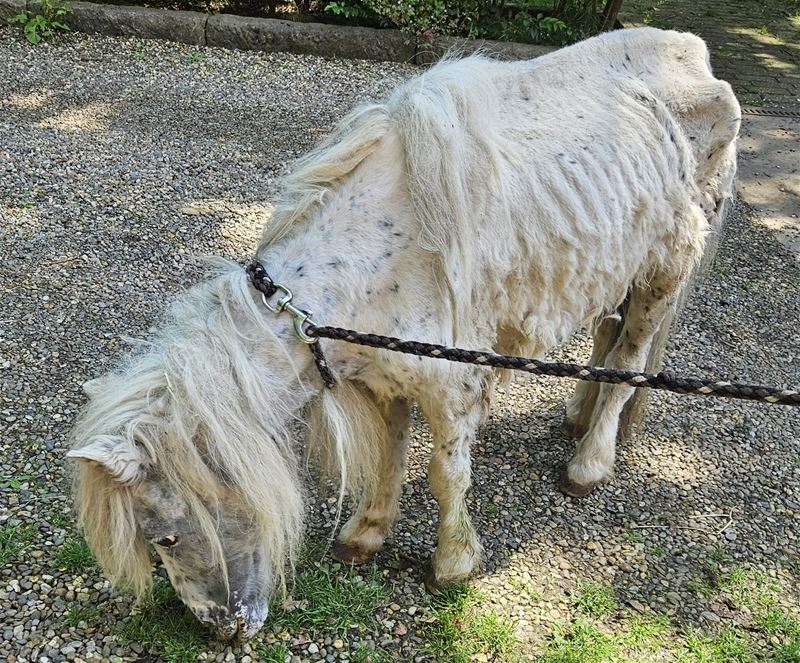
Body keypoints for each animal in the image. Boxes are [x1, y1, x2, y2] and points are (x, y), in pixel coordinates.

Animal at [67, 28, 736, 640]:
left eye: (165, 536)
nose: (222, 627)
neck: (372, 252)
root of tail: (695, 54)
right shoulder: (386, 374)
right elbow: (389, 454)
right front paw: (365, 535)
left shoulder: (452, 383)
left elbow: (446, 474)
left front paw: (452, 564)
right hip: (613, 261)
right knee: (606, 335)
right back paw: (576, 415)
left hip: (667, 263)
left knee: (631, 358)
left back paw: (589, 463)